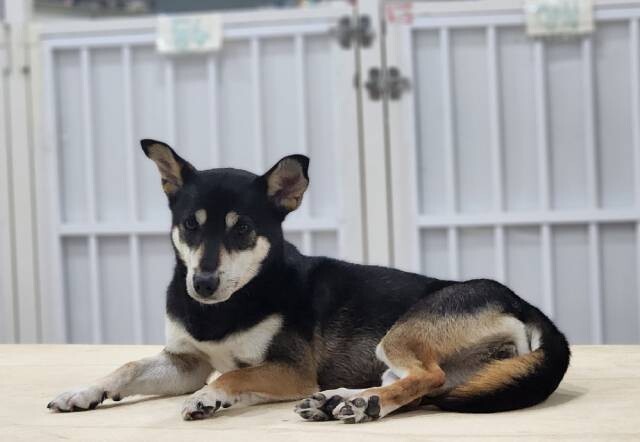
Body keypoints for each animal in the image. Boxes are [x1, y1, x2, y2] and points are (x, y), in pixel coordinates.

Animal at [47, 140, 572, 424]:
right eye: (190, 225)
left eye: (243, 229)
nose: (203, 282)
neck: (225, 307)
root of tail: (527, 307)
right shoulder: (185, 362)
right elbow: (128, 367)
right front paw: (83, 392)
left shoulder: (290, 370)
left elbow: (233, 374)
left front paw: (209, 398)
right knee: (412, 384)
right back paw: (344, 401)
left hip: (400, 334)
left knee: (427, 377)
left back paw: (359, 406)